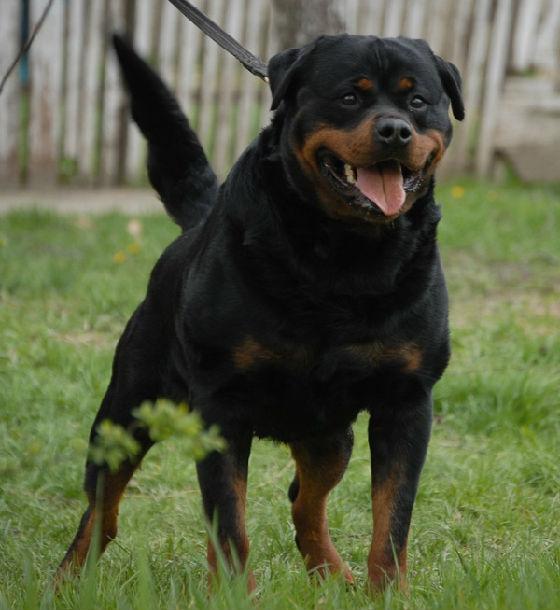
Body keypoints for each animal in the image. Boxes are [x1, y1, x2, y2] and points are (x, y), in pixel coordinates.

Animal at [58, 32, 464, 588]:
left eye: (418, 101)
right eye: (349, 97)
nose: (396, 130)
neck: (344, 257)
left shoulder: (406, 400)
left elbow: (392, 519)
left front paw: (388, 591)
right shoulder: (222, 404)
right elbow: (228, 518)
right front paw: (232, 591)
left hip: (329, 436)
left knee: (303, 500)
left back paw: (333, 575)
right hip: (127, 408)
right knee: (102, 501)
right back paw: (66, 579)